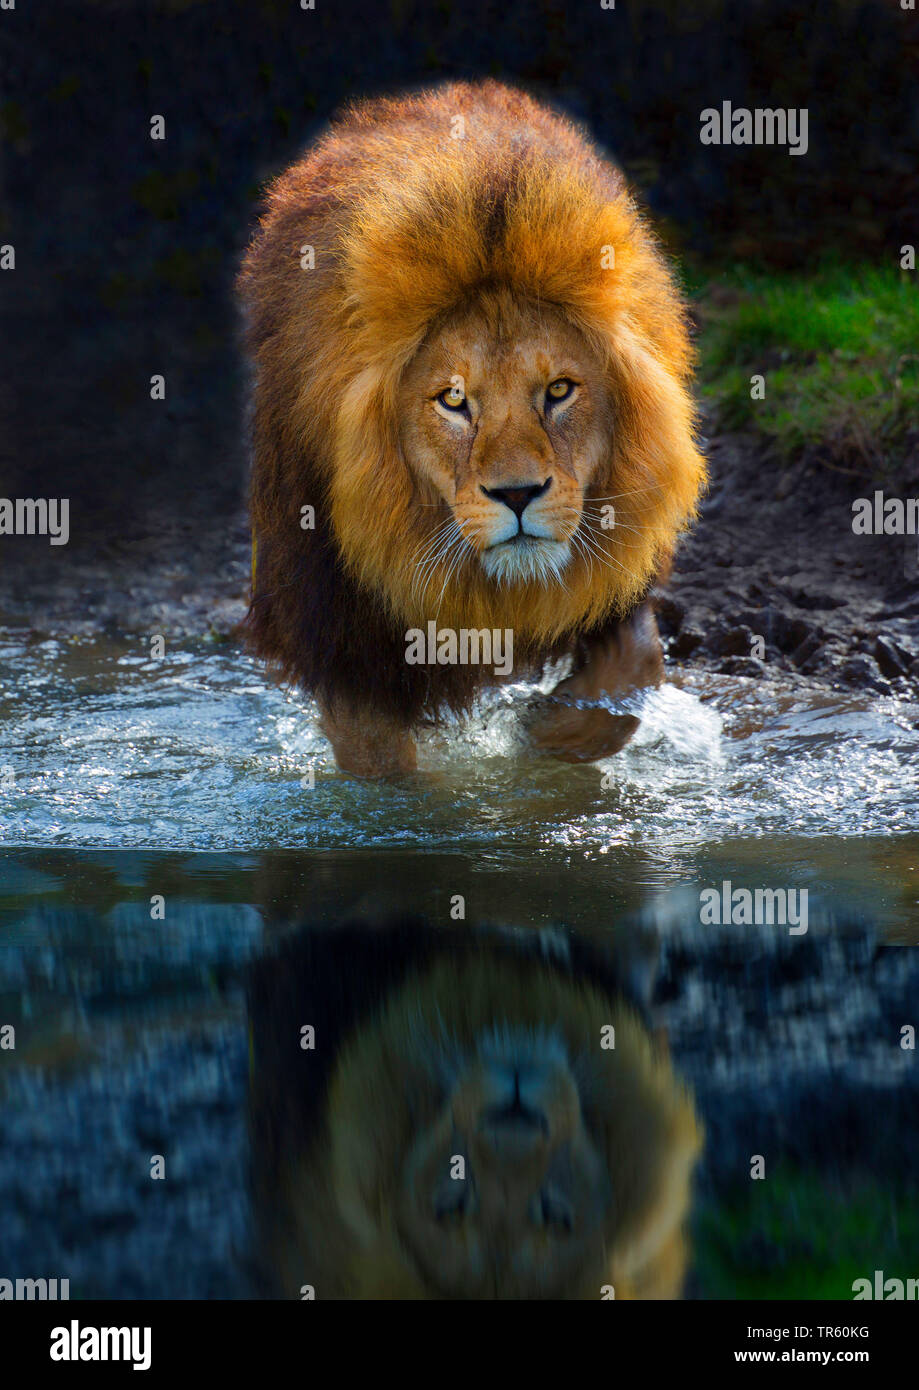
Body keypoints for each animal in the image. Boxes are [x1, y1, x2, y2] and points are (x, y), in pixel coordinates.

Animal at [236, 81, 703, 778]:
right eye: (454, 400)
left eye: (559, 391)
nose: (517, 495)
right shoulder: (345, 639)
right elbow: (387, 776)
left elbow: (634, 670)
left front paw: (550, 734)